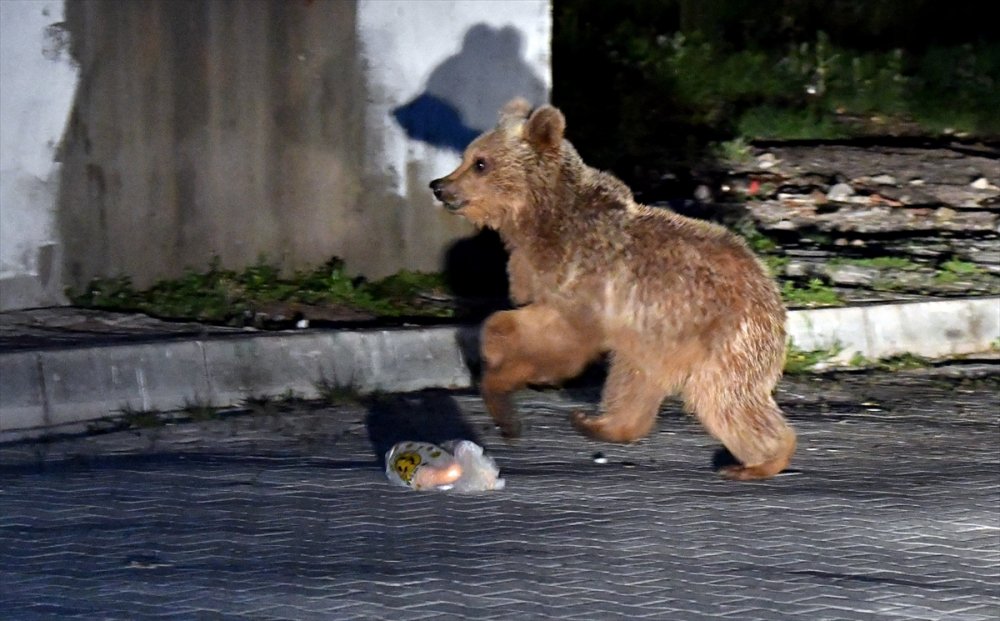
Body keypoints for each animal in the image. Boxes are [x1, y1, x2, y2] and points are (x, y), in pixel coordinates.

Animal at [430, 100, 796, 480]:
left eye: (480, 162)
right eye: (467, 156)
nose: (439, 185)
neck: (538, 222)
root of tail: (773, 293)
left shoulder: (583, 278)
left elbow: (558, 338)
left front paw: (505, 380)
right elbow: (518, 320)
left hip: (726, 336)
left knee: (721, 396)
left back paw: (763, 460)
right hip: (657, 338)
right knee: (636, 379)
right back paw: (599, 424)